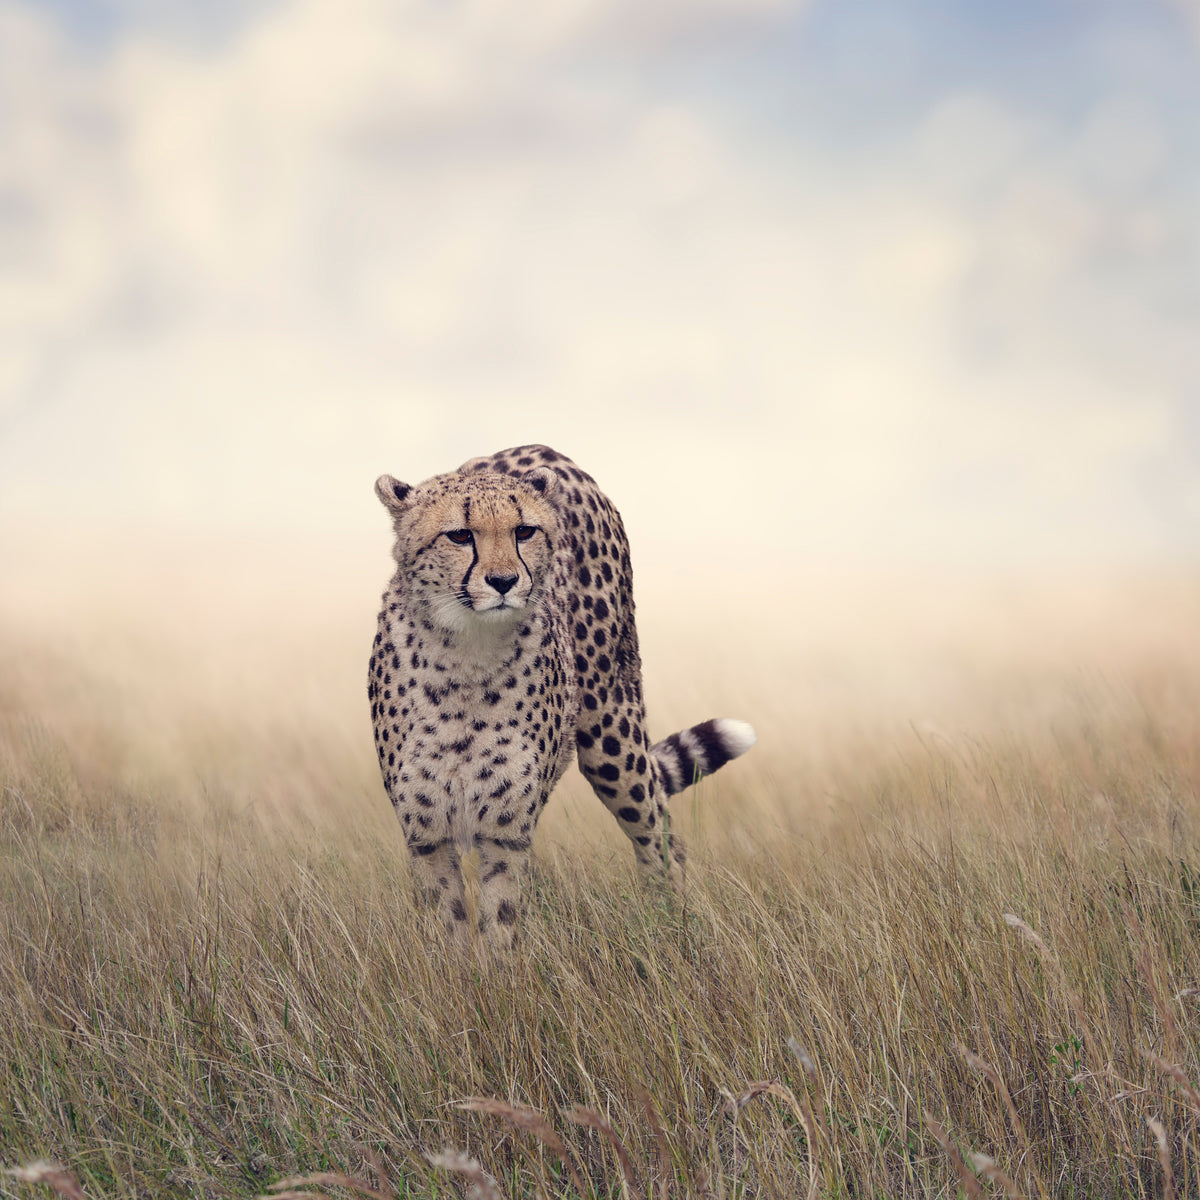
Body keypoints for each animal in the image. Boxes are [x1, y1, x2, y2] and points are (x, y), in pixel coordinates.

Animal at [368, 444, 756, 949]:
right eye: (459, 535)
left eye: (524, 531)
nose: (503, 581)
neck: (467, 654)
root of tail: (545, 451)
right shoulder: (427, 837)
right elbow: (449, 935)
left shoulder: (506, 833)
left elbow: (500, 929)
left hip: (613, 739)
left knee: (658, 831)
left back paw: (669, 925)